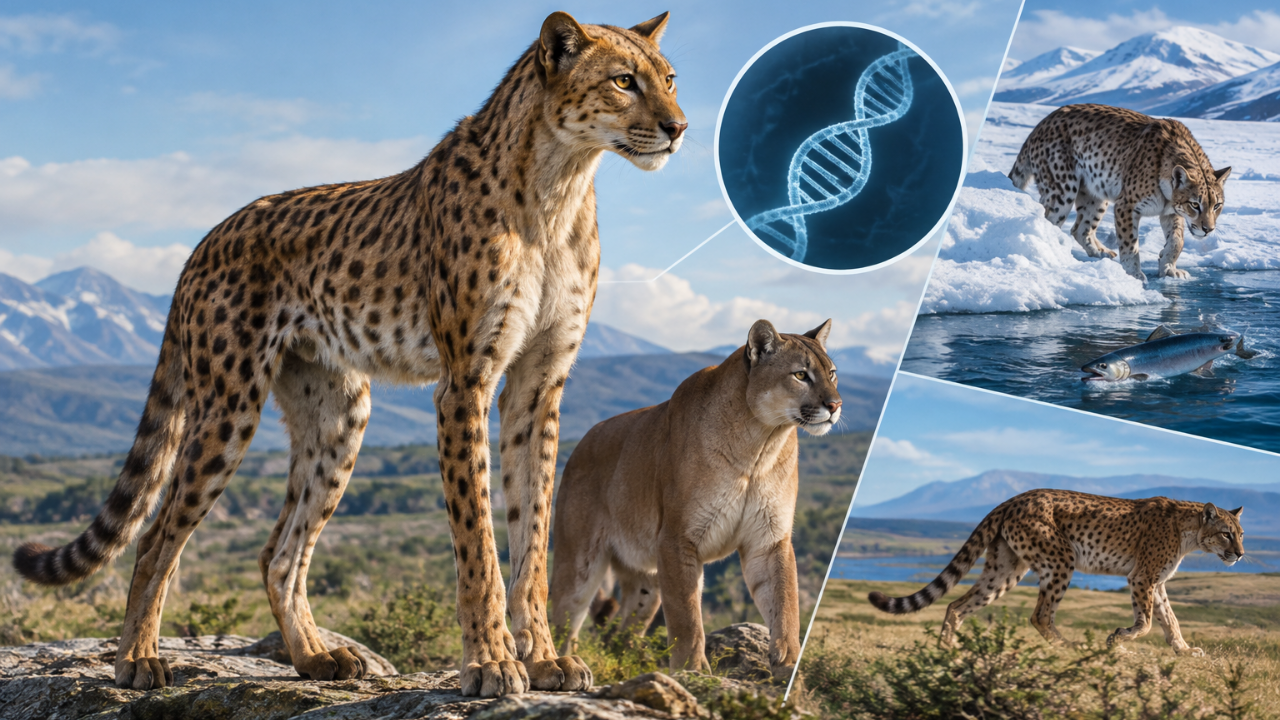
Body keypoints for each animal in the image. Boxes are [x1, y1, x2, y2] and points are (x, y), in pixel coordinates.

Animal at [12, 10, 686, 698]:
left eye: (669, 79)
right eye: (624, 81)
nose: (678, 128)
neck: (560, 177)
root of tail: (207, 237)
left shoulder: (537, 385)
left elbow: (533, 535)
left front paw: (545, 659)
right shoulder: (465, 381)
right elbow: (478, 542)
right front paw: (491, 663)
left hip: (340, 416)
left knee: (278, 552)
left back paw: (314, 657)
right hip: (228, 406)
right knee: (156, 540)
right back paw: (138, 659)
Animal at [549, 319, 842, 680]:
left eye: (832, 374)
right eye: (801, 374)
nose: (835, 406)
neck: (760, 445)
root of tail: (580, 444)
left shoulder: (769, 539)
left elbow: (785, 605)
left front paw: (788, 665)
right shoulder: (678, 539)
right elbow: (686, 616)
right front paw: (694, 670)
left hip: (648, 581)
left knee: (622, 631)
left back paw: (632, 664)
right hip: (579, 563)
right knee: (563, 622)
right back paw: (569, 667)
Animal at [868, 488, 1246, 656]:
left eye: (1241, 533)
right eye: (1227, 534)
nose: (1241, 554)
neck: (1191, 529)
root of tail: (1017, 497)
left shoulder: (1157, 583)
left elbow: (1170, 619)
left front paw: (1184, 650)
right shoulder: (1142, 578)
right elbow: (1147, 622)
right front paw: (1117, 640)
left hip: (1006, 569)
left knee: (956, 605)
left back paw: (947, 650)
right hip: (1061, 559)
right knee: (1040, 615)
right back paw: (1072, 646)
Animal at [1009, 103, 1231, 282]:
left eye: (1217, 205)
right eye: (1195, 204)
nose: (1208, 229)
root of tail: (1043, 122)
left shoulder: (1170, 212)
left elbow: (1177, 241)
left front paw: (1168, 268)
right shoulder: (1127, 205)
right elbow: (1130, 243)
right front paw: (1133, 274)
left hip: (1096, 195)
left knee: (1080, 229)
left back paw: (1101, 253)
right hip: (1062, 191)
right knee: (1048, 223)